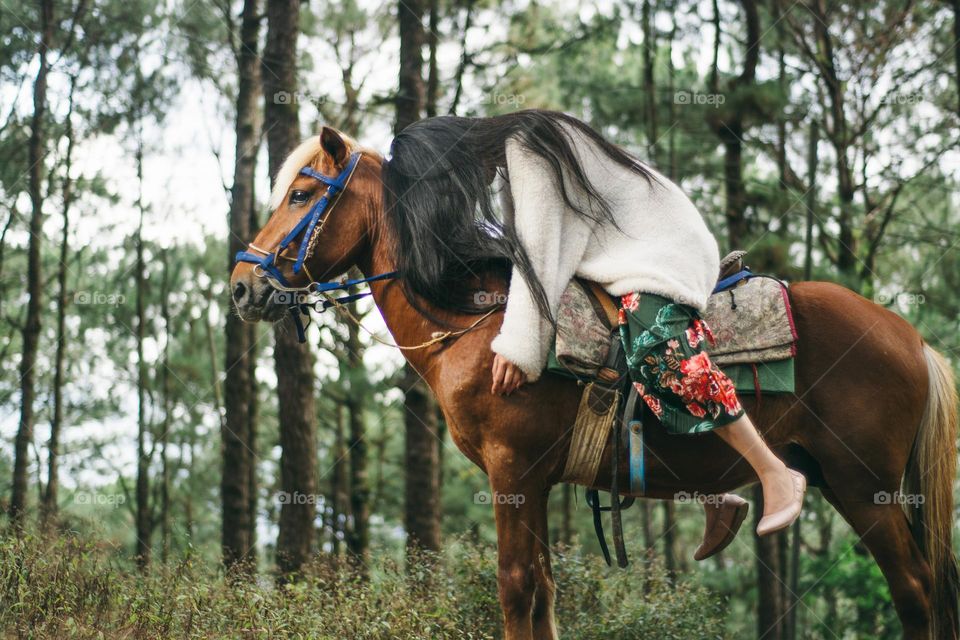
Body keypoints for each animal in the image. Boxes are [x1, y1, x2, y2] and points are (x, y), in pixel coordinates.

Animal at [230, 121, 959, 640]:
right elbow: (543, 594)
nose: (242, 285)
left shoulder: (513, 471)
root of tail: (911, 338)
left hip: (865, 488)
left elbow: (516, 589)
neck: (476, 321)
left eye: (300, 194)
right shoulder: (534, 483)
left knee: (916, 593)